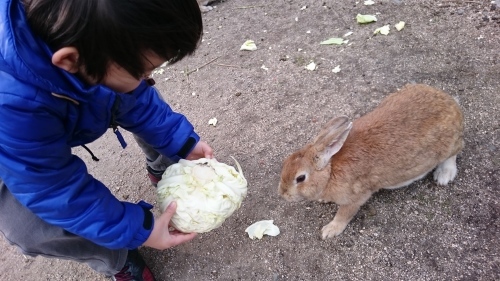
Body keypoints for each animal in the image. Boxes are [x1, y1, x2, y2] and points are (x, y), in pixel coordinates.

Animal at [278, 83, 464, 238]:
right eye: (285, 163)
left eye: (300, 178)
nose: (282, 194)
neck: (330, 171)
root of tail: (452, 104)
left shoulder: (356, 196)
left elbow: (344, 214)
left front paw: (329, 231)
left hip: (448, 146)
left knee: (455, 151)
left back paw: (444, 175)